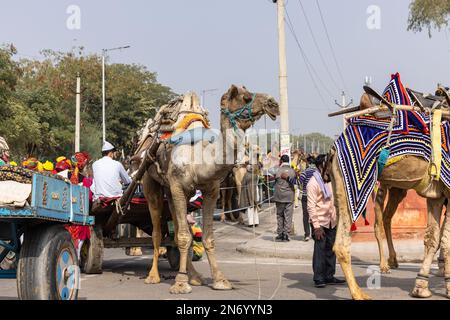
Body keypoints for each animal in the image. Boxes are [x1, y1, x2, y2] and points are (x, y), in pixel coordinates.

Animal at [134, 85, 280, 292]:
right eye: (245, 97)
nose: (273, 104)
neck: (200, 158)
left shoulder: (210, 190)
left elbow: (206, 237)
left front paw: (220, 280)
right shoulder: (178, 187)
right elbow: (184, 237)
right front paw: (180, 284)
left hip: (170, 190)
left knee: (176, 229)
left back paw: (195, 276)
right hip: (149, 180)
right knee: (156, 230)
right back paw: (153, 276)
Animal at [326, 150, 448, 300]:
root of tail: (333, 152)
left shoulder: (437, 194)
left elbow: (434, 238)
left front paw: (422, 287)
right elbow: (445, 240)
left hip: (390, 188)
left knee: (385, 217)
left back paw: (392, 261)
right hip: (362, 185)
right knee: (374, 224)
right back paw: (364, 288)